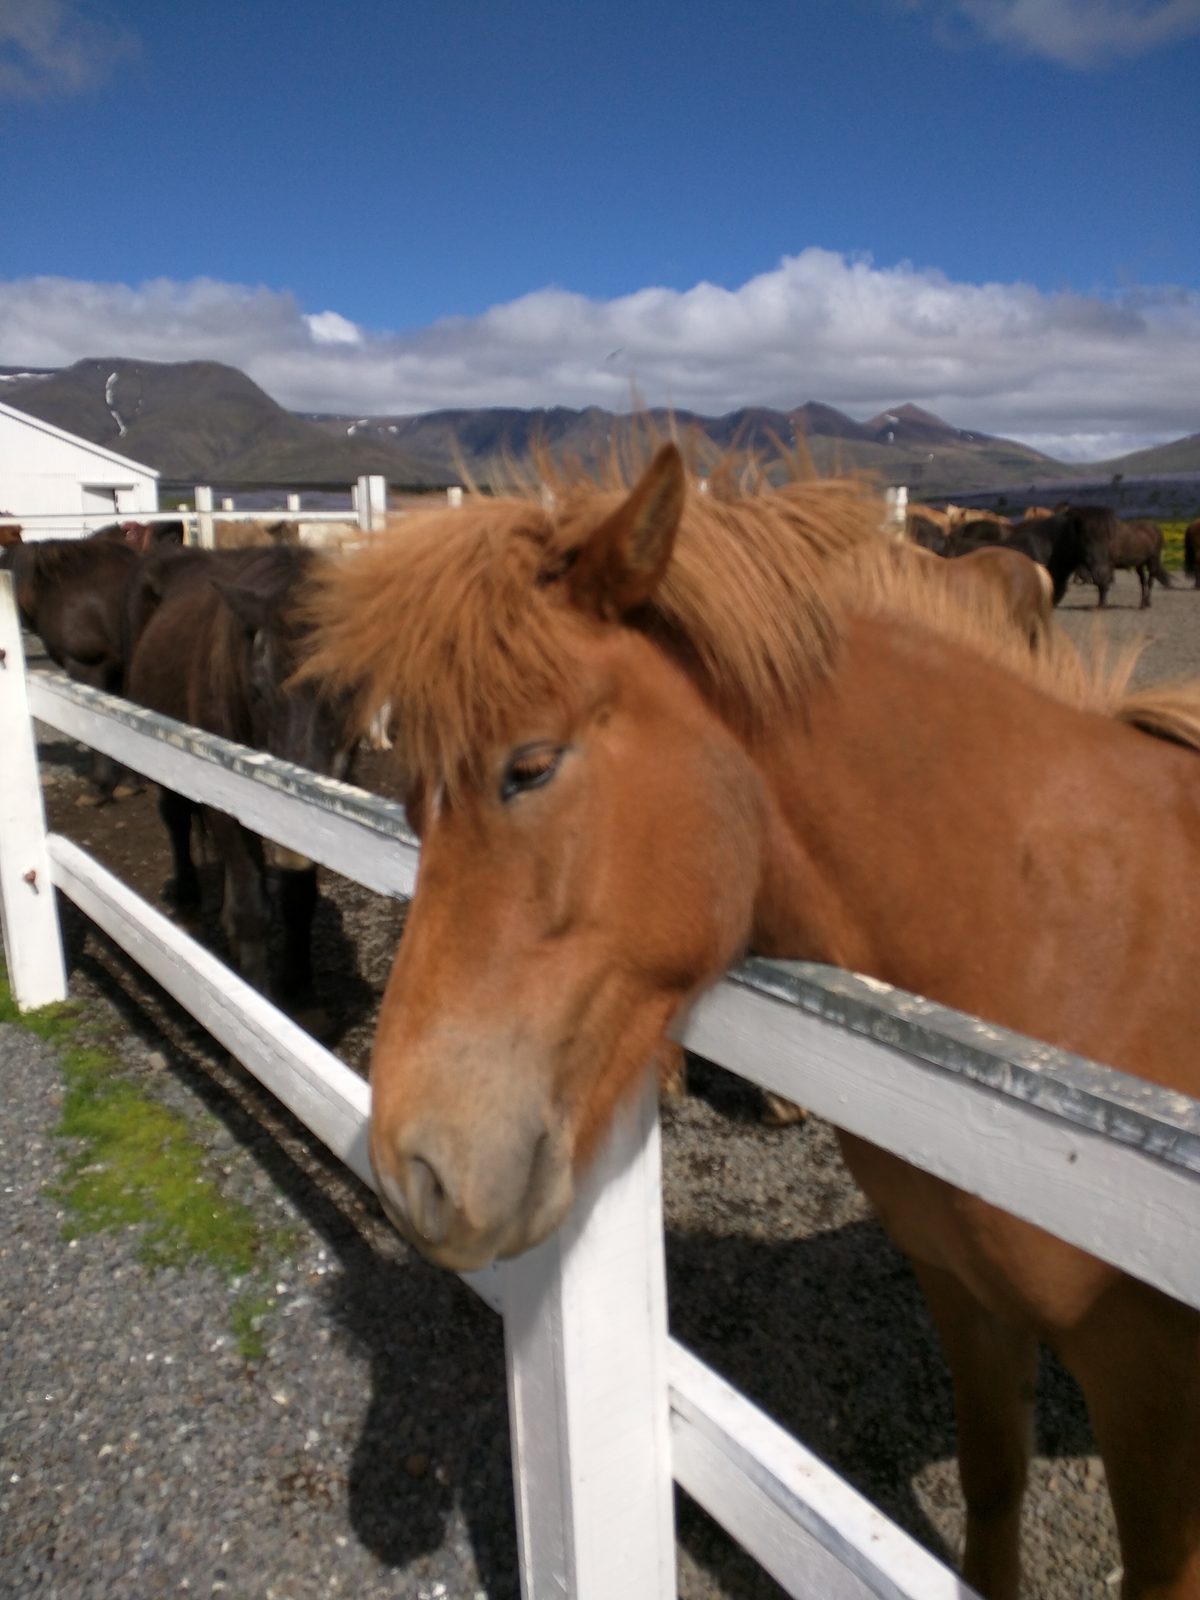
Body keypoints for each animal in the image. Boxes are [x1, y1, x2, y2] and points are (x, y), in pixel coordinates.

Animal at [124, 544, 356, 1034]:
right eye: (258, 688)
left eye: (349, 689)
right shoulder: (224, 804)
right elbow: (252, 909)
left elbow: (297, 897)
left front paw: (301, 995)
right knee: (176, 819)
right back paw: (188, 903)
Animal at [302, 444, 1200, 1600]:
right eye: (409, 794)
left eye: (530, 766)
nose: (411, 1168)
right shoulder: (968, 1298)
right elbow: (993, 1486)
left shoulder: (1151, 1386)